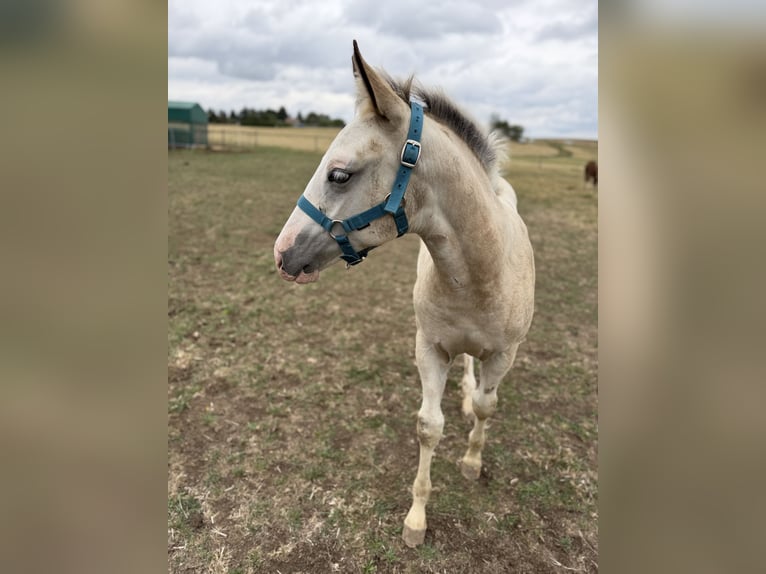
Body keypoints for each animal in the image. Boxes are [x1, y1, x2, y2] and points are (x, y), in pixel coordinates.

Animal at [273, 41, 535, 547]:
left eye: (339, 175)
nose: (281, 253)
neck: (480, 273)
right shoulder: (429, 348)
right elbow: (429, 427)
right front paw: (416, 519)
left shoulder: (504, 354)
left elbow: (486, 406)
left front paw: (471, 463)